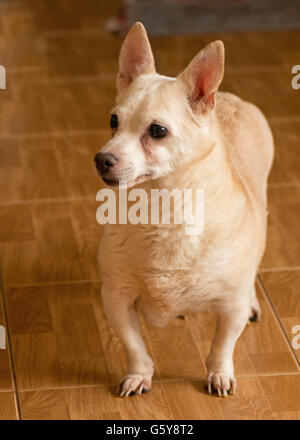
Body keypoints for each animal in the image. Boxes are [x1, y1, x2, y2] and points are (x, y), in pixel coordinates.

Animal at [94, 22, 274, 398]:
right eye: (113, 121)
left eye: (157, 131)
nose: (101, 158)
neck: (163, 209)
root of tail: (230, 97)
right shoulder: (116, 297)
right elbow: (134, 344)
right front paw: (139, 374)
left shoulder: (230, 307)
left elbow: (223, 345)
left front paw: (219, 374)